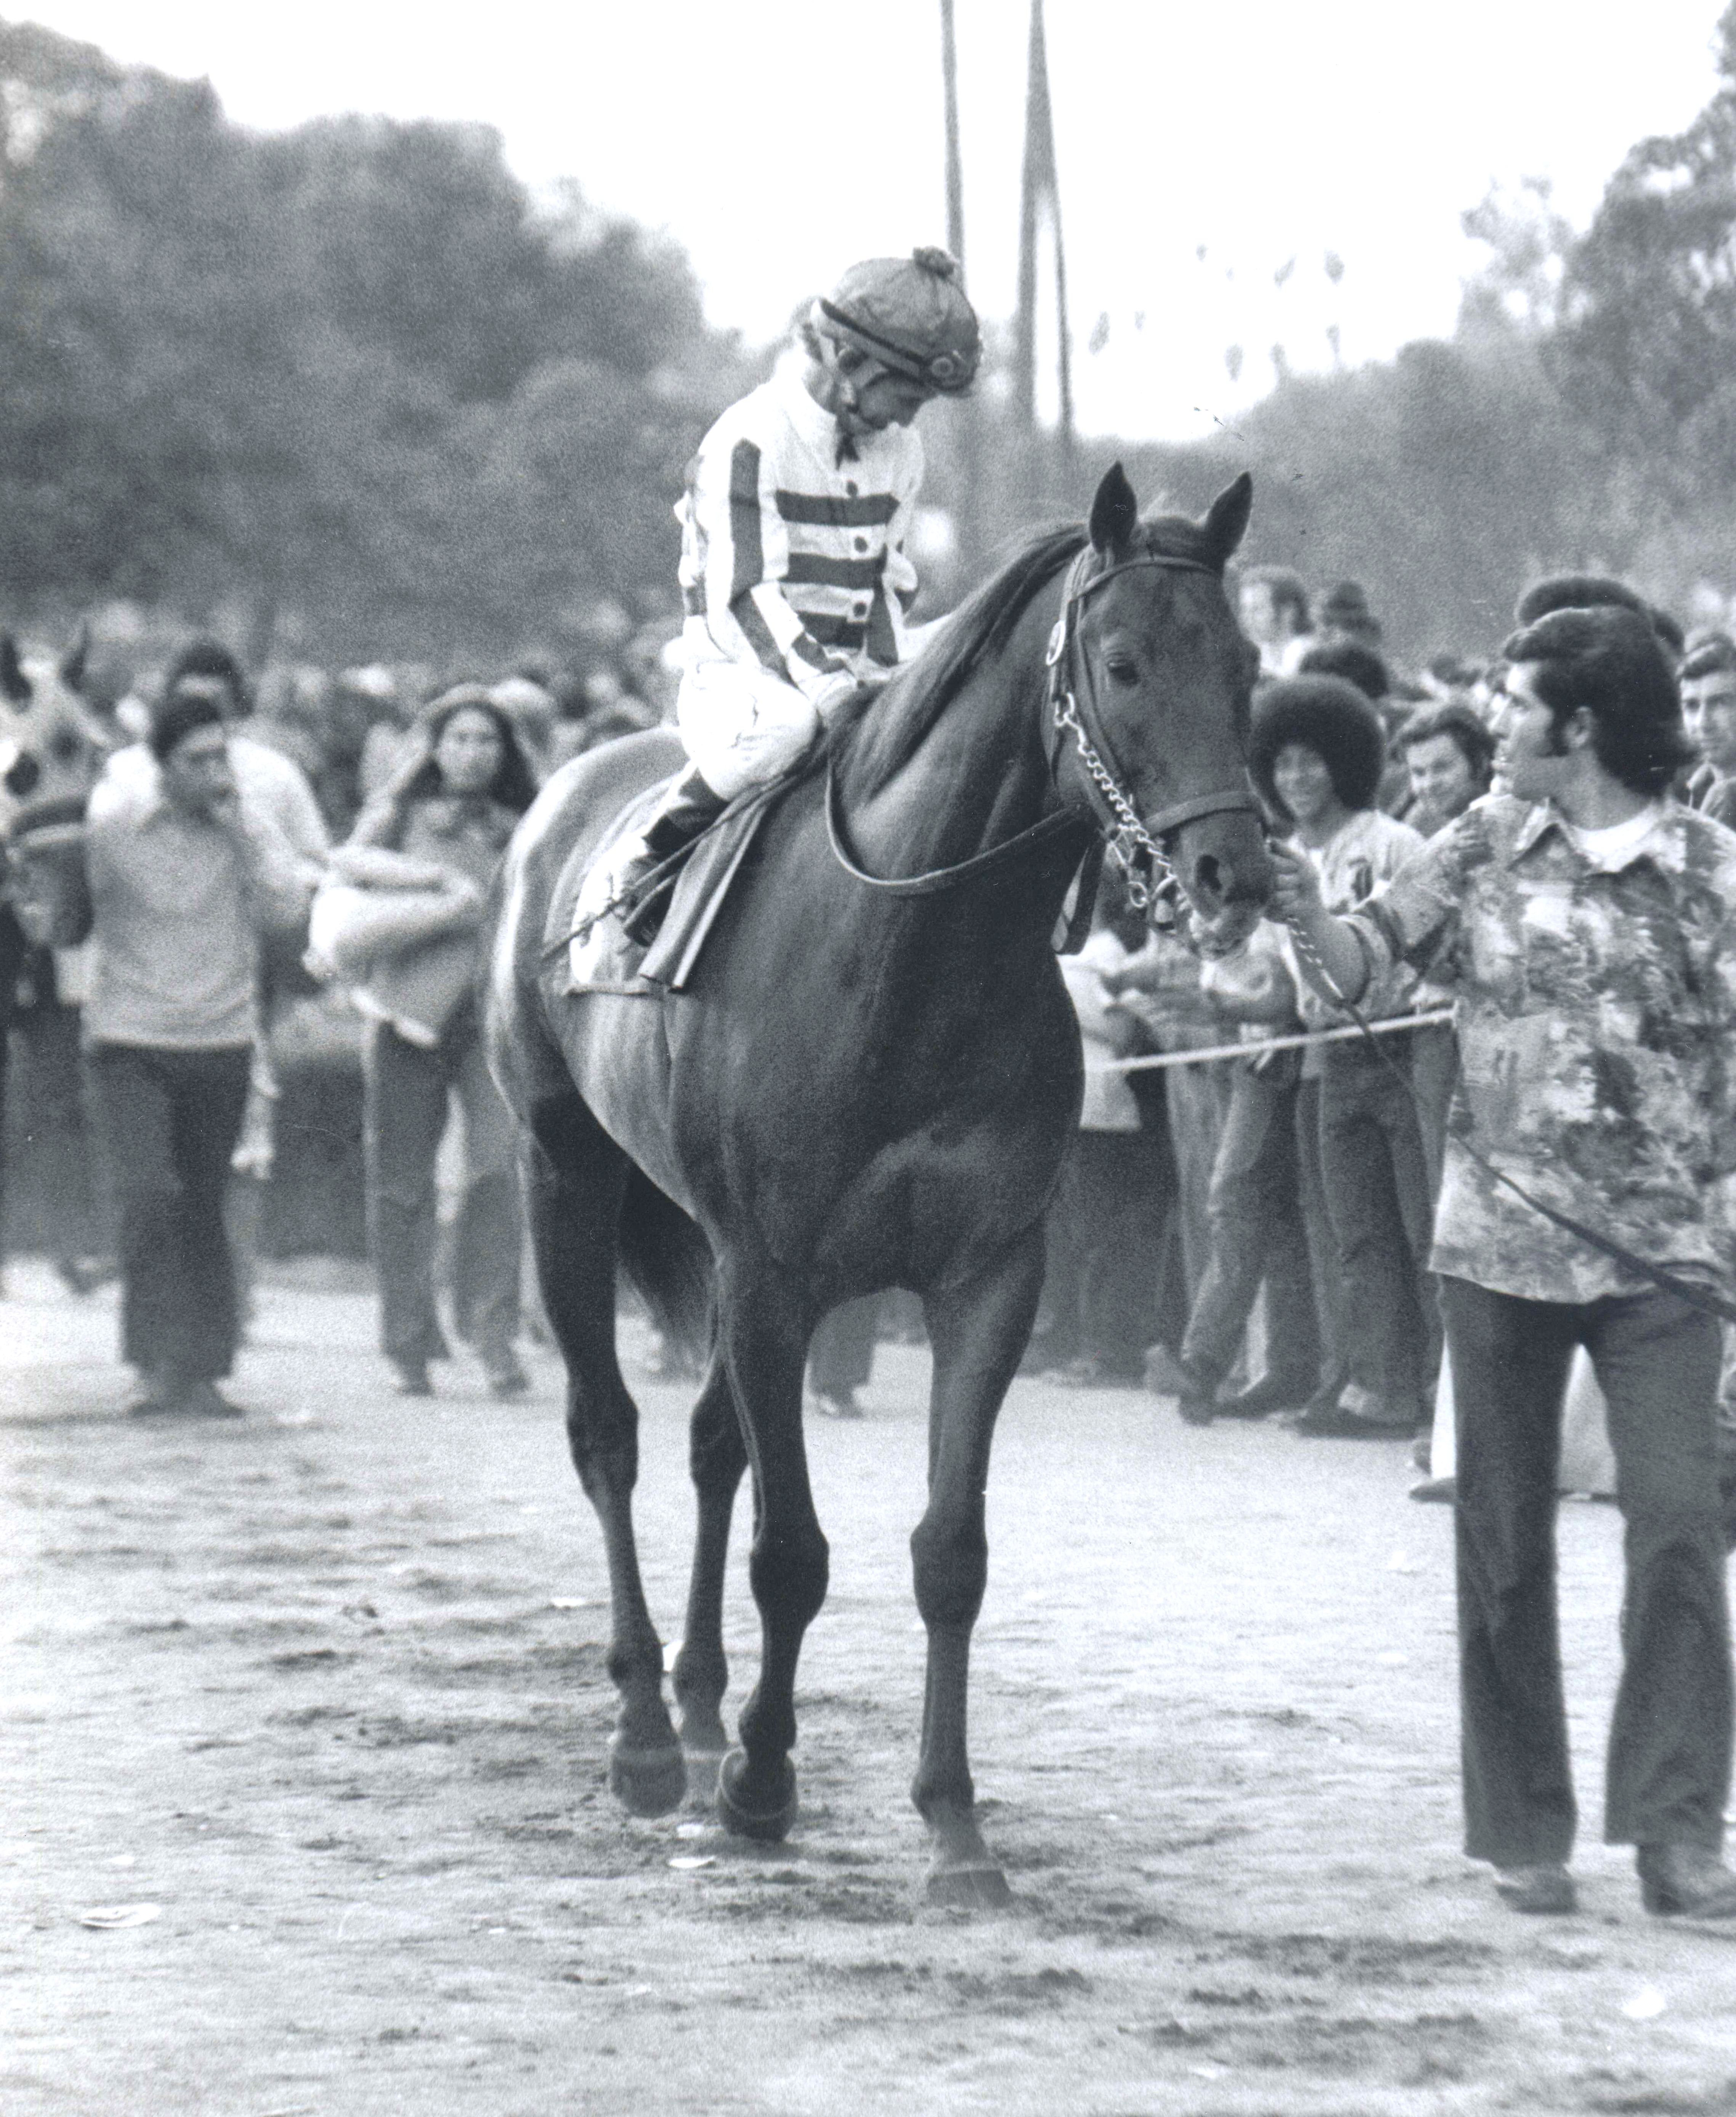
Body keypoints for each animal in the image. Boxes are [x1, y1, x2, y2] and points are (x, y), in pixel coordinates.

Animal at [489, 463, 1279, 1905]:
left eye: (1248, 666)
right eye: (1126, 664)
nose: (1232, 875)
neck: (917, 948)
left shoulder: (988, 1274)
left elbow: (948, 1552)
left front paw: (951, 1821)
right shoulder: (770, 1273)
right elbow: (792, 1553)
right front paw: (761, 1783)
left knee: (708, 1448)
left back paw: (698, 1704)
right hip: (560, 1176)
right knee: (610, 1436)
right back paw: (646, 1735)